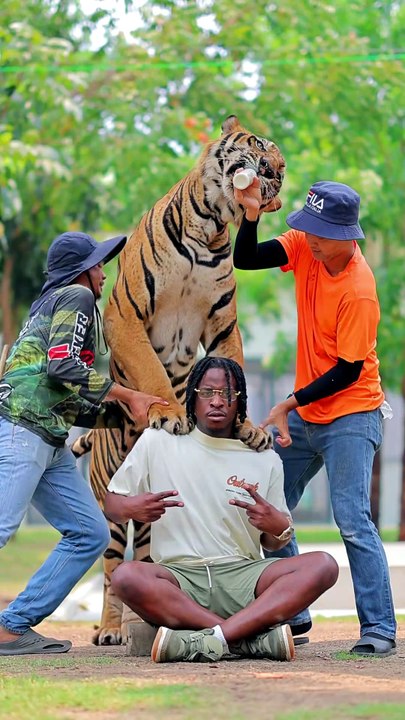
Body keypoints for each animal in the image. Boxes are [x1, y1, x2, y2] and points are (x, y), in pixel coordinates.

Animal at [71, 114, 285, 645]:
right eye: (259, 145)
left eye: (282, 167)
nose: (273, 174)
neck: (210, 228)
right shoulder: (127, 314)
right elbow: (151, 372)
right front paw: (167, 410)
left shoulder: (223, 323)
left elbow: (234, 365)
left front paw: (248, 428)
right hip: (113, 500)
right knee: (113, 566)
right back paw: (111, 630)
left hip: (155, 506)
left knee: (148, 553)